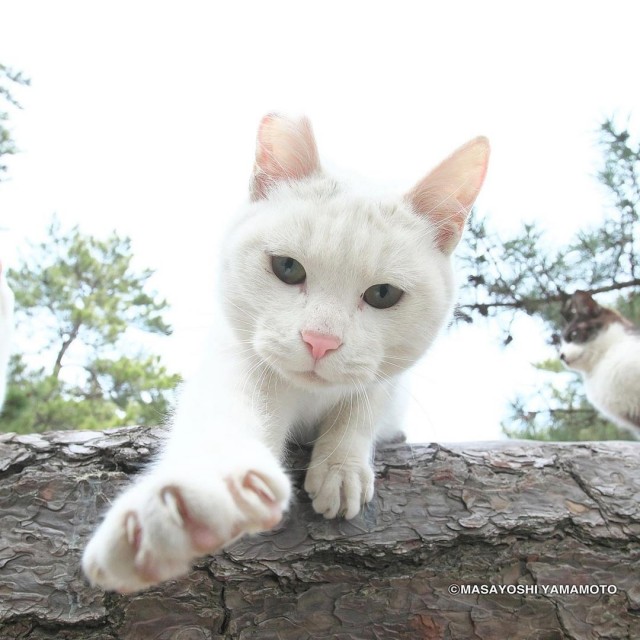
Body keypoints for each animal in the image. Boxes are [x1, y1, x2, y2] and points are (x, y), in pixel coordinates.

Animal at [81, 114, 490, 592]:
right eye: (288, 268)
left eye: (383, 294)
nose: (320, 340)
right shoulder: (233, 359)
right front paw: (185, 504)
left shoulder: (392, 377)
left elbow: (365, 401)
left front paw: (342, 465)